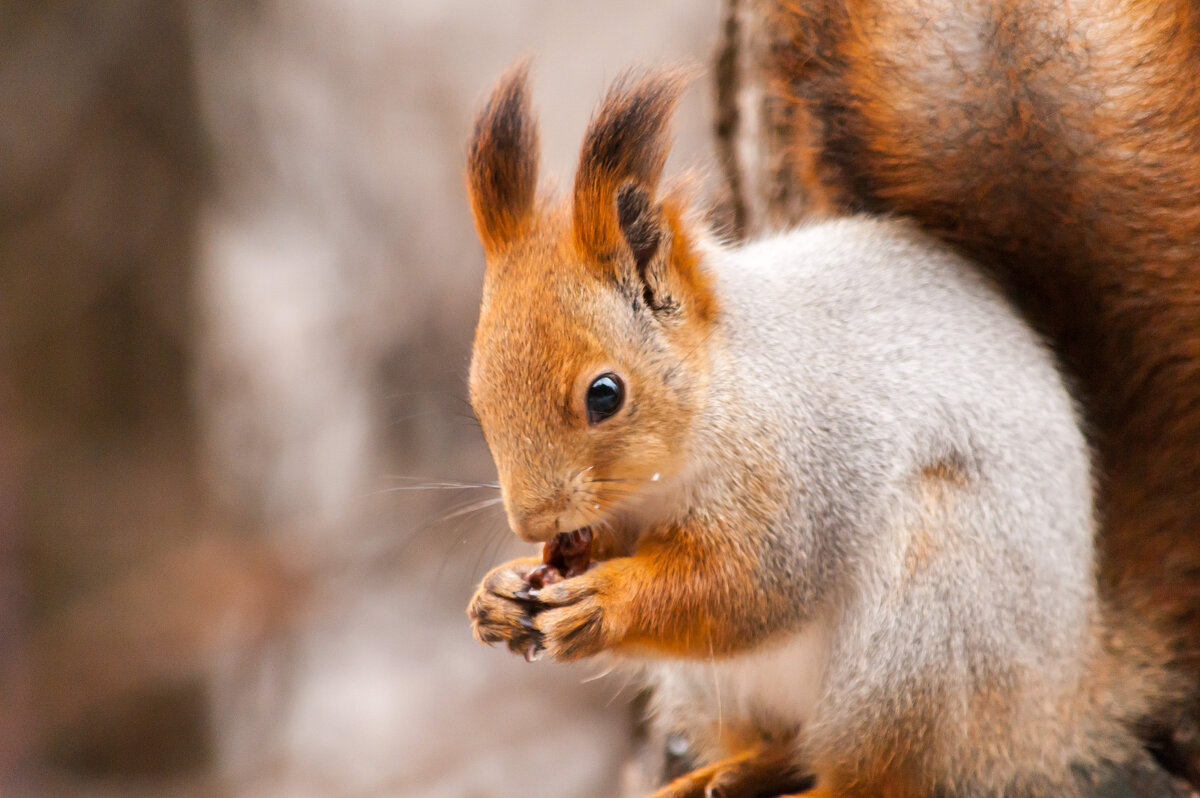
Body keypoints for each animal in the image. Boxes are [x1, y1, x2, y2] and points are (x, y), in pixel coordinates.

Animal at [456, 49, 1190, 796]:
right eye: (477, 396)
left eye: (605, 394)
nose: (533, 522)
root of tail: (1063, 703)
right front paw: (499, 592)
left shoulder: (800, 474)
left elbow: (746, 586)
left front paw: (604, 602)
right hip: (720, 687)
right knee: (781, 744)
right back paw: (724, 773)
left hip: (929, 633)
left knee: (878, 774)